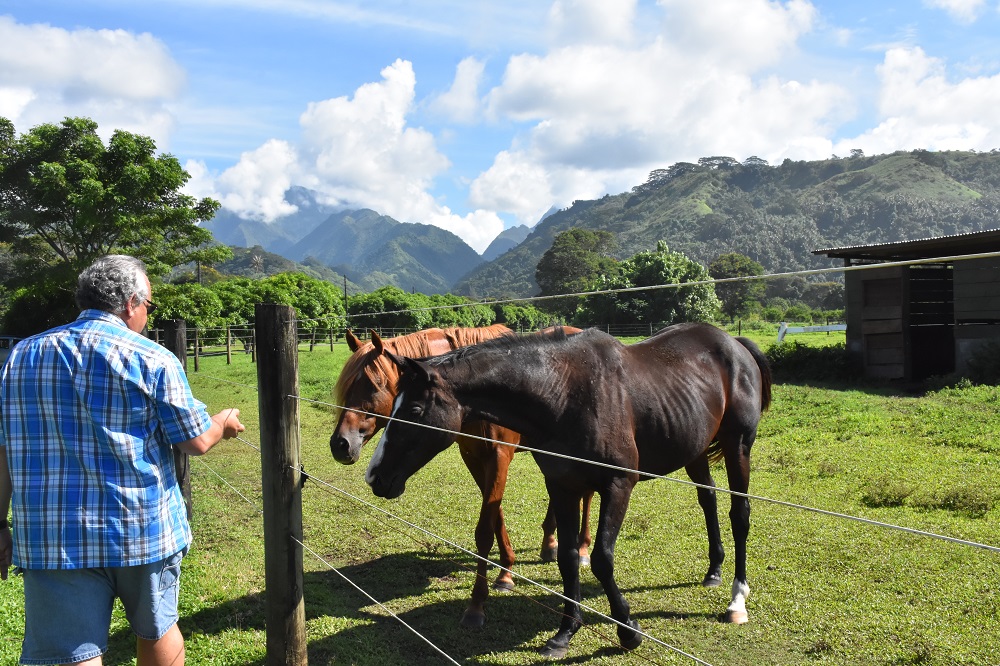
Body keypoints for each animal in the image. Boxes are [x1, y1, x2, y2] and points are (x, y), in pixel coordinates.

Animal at [329, 325, 593, 628]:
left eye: (375, 385)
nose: (340, 444)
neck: (476, 395)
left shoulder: (499, 458)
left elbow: (484, 531)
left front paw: (478, 604)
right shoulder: (474, 459)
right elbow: (495, 517)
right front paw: (506, 570)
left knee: (587, 495)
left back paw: (582, 549)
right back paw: (549, 543)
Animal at [365, 323, 772, 658]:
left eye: (414, 410)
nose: (374, 477)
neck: (565, 395)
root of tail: (734, 343)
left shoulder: (618, 485)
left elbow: (603, 559)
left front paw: (628, 630)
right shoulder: (561, 487)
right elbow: (567, 558)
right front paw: (565, 631)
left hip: (737, 446)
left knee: (740, 514)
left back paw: (737, 601)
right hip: (696, 449)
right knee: (708, 499)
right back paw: (713, 569)